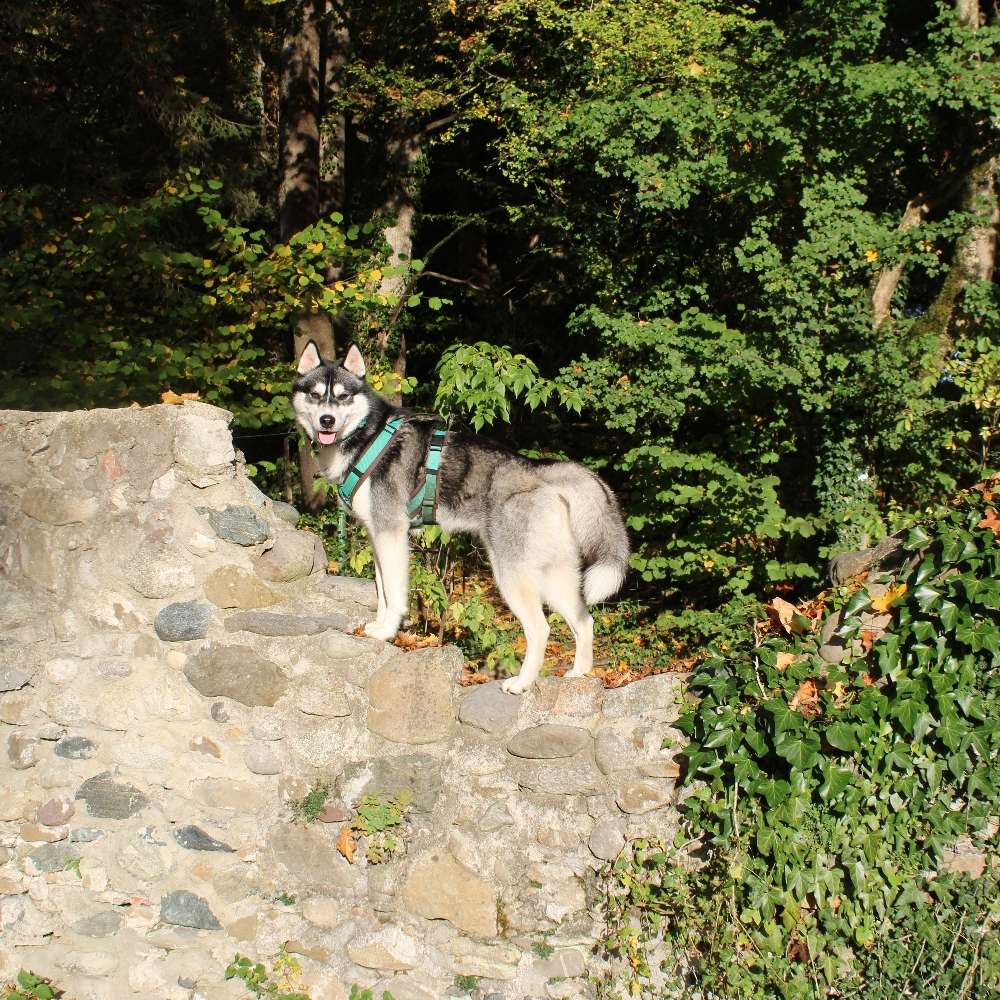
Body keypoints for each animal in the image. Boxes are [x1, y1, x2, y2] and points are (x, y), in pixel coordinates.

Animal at [292, 340, 628, 692]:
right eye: (315, 394)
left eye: (343, 396)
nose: (327, 420)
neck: (367, 436)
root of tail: (538, 469)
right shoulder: (377, 538)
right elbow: (382, 592)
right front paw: (378, 628)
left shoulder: (391, 535)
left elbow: (395, 595)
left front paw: (386, 633)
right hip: (554, 575)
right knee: (584, 619)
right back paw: (580, 673)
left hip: (511, 575)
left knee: (540, 628)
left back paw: (521, 683)